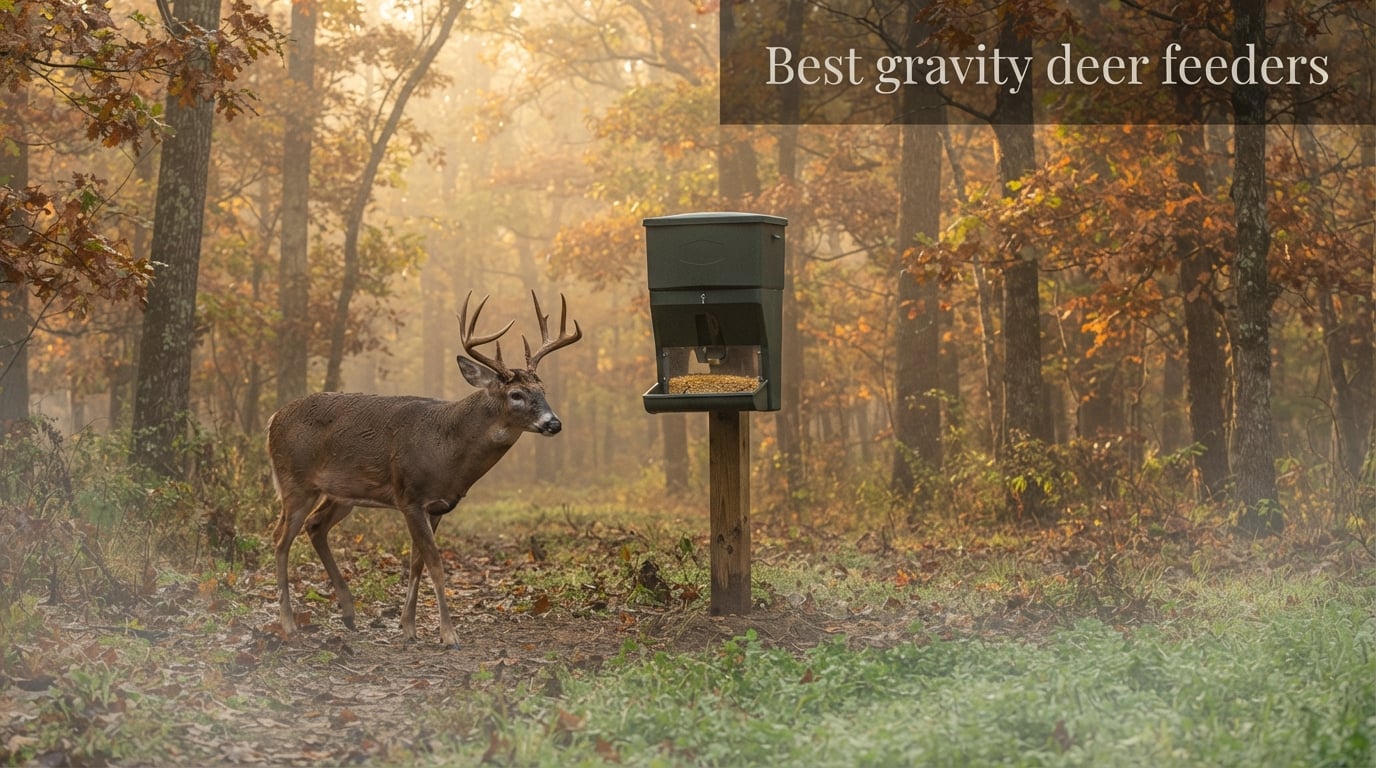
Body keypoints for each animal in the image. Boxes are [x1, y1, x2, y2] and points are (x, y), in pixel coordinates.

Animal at [265, 290, 582, 648]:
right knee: (280, 538)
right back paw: (289, 625)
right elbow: (436, 564)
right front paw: (449, 634)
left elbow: (417, 563)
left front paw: (409, 627)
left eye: (543, 391)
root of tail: (273, 419)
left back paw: (347, 613)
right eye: (516, 394)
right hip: (295, 481)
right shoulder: (411, 497)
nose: (554, 423)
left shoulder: (438, 506)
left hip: (341, 494)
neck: (447, 450)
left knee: (316, 526)